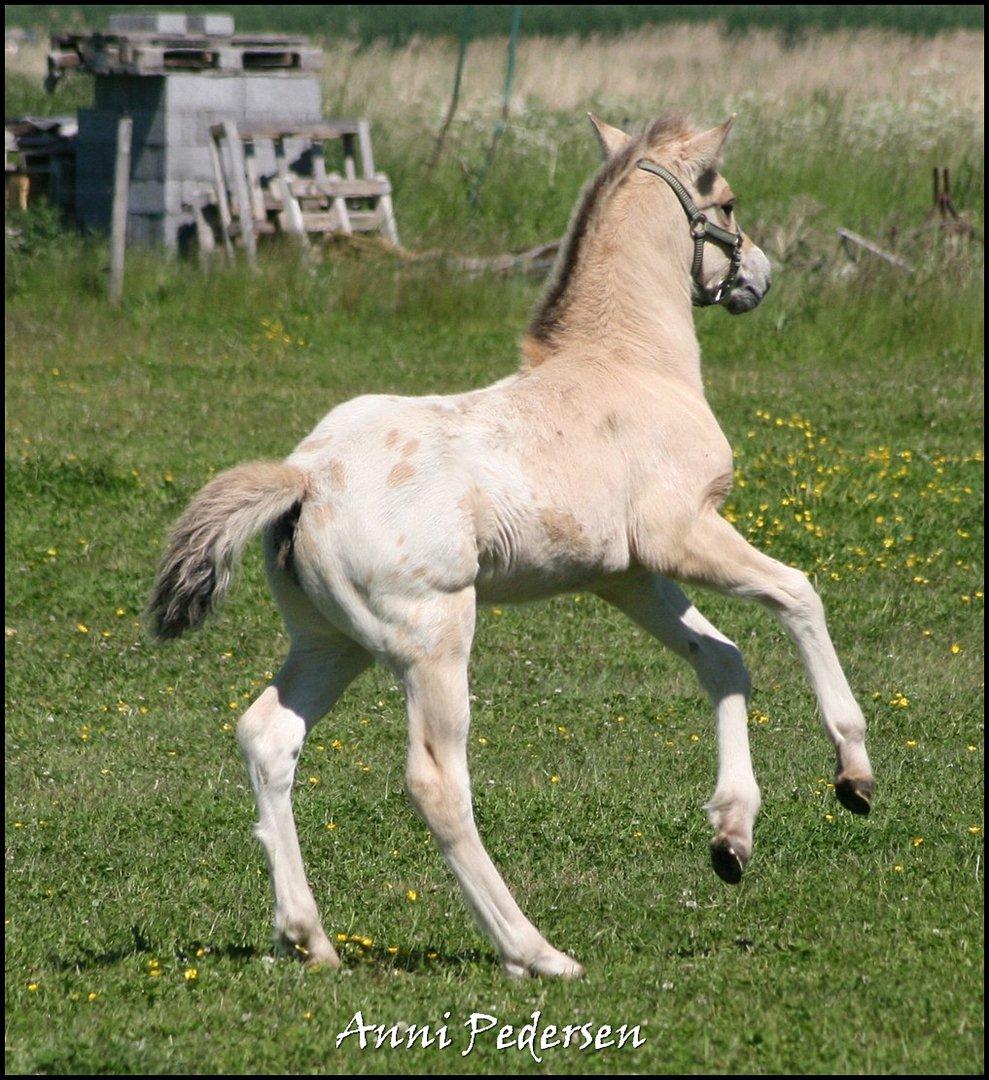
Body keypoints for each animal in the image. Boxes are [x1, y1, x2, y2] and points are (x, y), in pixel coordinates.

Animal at [146, 111, 872, 980]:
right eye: (724, 201)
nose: (757, 275)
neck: (630, 364)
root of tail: (304, 476)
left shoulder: (627, 576)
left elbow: (722, 660)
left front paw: (730, 836)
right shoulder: (683, 534)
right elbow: (797, 592)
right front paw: (853, 775)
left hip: (330, 642)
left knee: (268, 737)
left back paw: (310, 938)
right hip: (432, 638)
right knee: (434, 782)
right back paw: (535, 951)